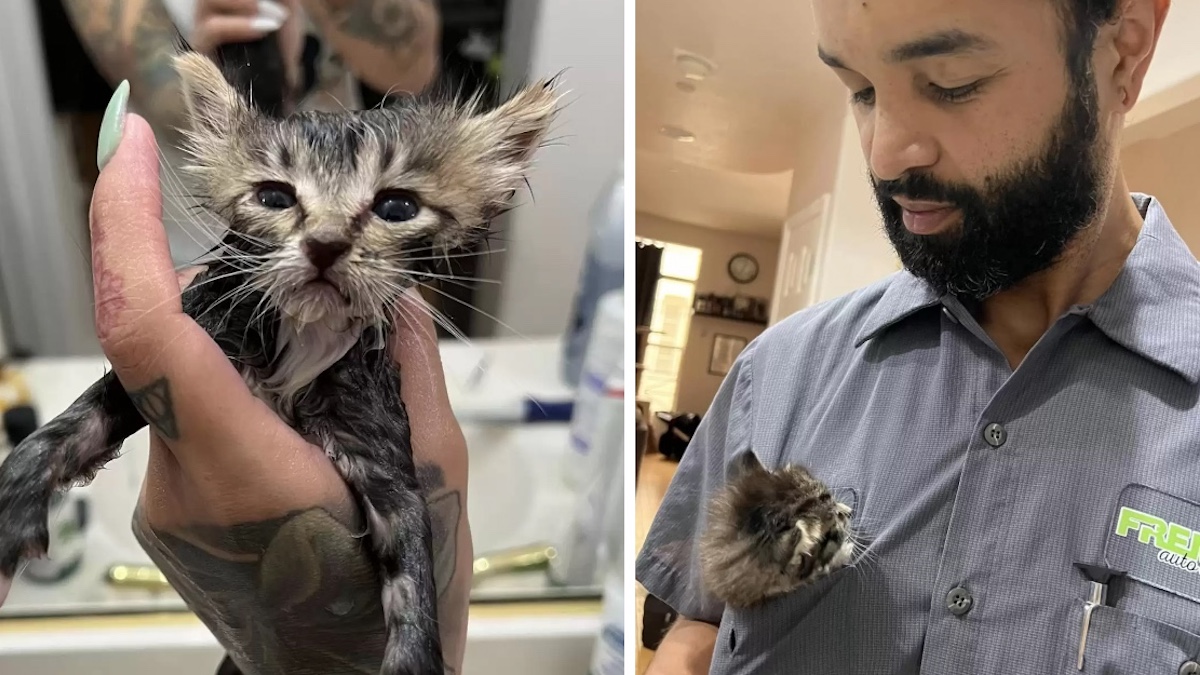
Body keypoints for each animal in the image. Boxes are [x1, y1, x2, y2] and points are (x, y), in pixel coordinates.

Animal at [0, 51, 559, 672]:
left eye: (397, 207)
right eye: (274, 198)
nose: (326, 244)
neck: (304, 335)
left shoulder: (382, 449)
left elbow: (415, 568)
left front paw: (413, 654)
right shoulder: (184, 350)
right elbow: (77, 421)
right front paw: (16, 499)